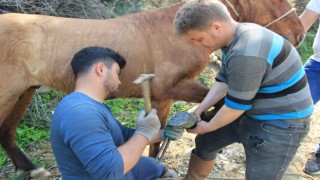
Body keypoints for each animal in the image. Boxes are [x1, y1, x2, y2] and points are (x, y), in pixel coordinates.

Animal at [0, 0, 304, 177]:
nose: (300, 34)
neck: (173, 33)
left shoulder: (163, 96)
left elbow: (159, 138)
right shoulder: (172, 87)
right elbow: (213, 102)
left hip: (24, 93)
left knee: (7, 132)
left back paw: (30, 168)